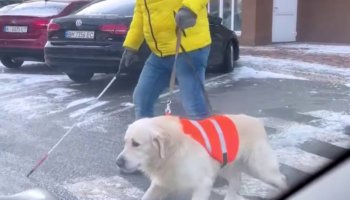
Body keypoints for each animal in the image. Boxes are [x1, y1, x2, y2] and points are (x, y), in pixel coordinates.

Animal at [116, 114, 286, 200]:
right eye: (125, 142)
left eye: (136, 144)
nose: (118, 162)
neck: (173, 151)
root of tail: (257, 121)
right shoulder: (162, 183)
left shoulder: (202, 184)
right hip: (226, 167)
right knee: (236, 180)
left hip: (260, 169)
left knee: (282, 178)